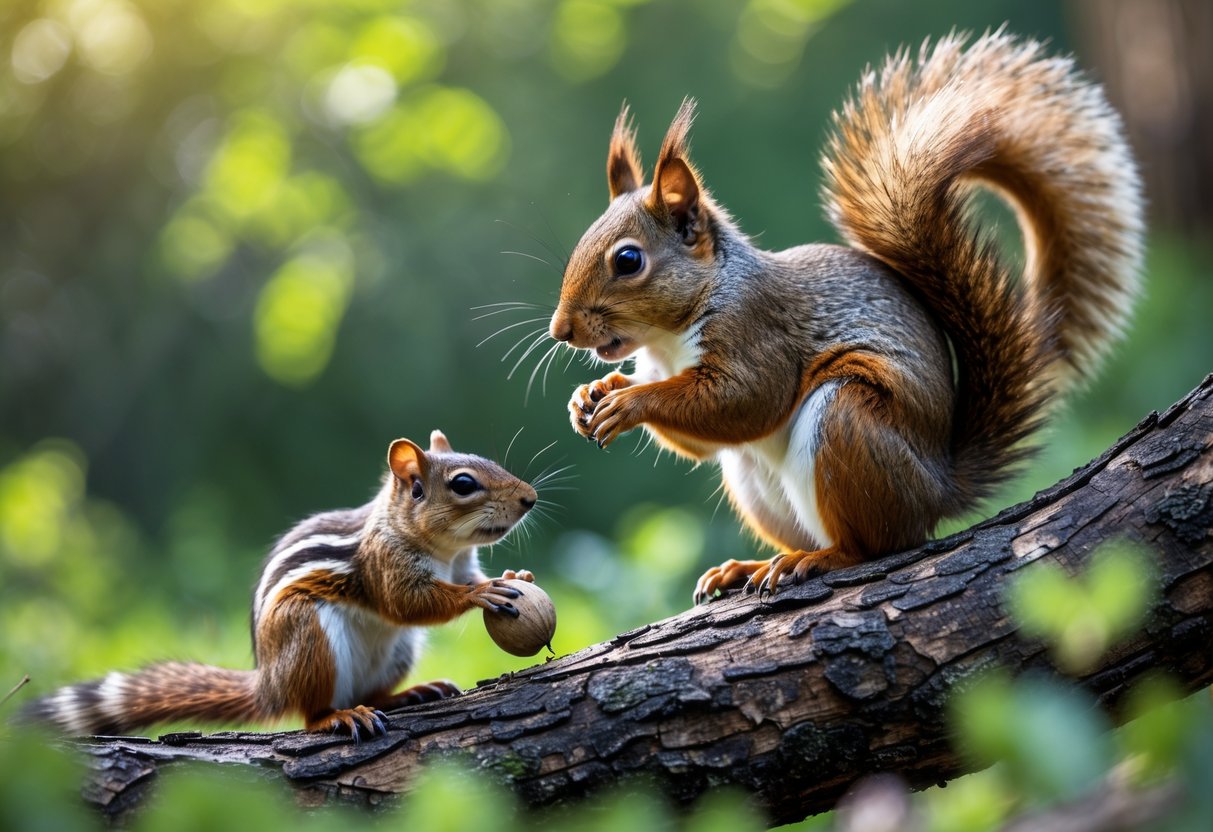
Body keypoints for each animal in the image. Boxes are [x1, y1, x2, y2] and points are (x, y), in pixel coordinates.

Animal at [22, 431, 538, 739]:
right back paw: (339, 715)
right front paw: (480, 594)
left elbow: (458, 583)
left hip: (398, 652)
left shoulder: (462, 563)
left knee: (370, 693)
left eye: (487, 460)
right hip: (309, 636)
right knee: (311, 714)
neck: (444, 550)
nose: (530, 498)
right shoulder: (384, 564)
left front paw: (514, 576)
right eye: (464, 484)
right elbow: (409, 603)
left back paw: (407, 694)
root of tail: (270, 684)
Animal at [548, 31, 1144, 603]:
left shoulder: (755, 332)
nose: (561, 331)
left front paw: (627, 403)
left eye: (628, 261)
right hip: (753, 481)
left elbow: (745, 401)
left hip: (846, 423)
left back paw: (818, 560)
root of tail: (937, 491)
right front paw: (591, 395)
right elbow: (702, 440)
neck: (668, 339)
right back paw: (749, 567)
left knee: (874, 544)